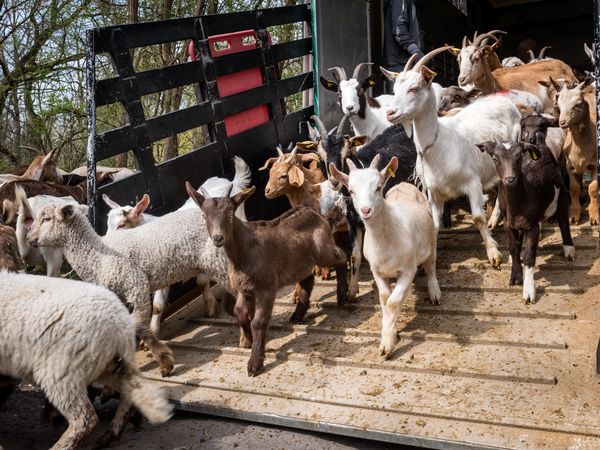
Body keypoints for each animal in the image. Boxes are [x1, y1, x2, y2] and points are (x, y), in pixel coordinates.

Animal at [0, 270, 173, 450]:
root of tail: (122, 320)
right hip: (107, 364)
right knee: (130, 396)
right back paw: (108, 436)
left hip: (61, 371)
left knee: (85, 419)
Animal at [188, 183, 346, 376]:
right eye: (204, 216)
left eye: (231, 214)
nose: (218, 238)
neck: (243, 253)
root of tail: (320, 216)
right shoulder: (244, 289)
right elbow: (240, 313)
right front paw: (249, 340)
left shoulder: (266, 288)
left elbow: (259, 322)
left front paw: (255, 362)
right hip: (300, 262)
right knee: (307, 280)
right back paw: (297, 314)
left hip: (324, 250)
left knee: (342, 257)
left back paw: (344, 295)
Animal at [328, 156, 440, 356]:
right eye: (351, 191)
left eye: (378, 187)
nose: (365, 210)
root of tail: (404, 184)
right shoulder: (377, 271)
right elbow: (385, 298)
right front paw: (390, 331)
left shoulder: (408, 269)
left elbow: (393, 302)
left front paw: (387, 344)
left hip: (431, 237)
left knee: (431, 264)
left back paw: (434, 291)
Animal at [382, 46, 504, 268]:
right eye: (394, 90)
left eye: (414, 88)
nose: (390, 113)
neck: (437, 144)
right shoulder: (434, 192)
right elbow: (434, 224)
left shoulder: (472, 183)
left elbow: (477, 218)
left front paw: (493, 253)